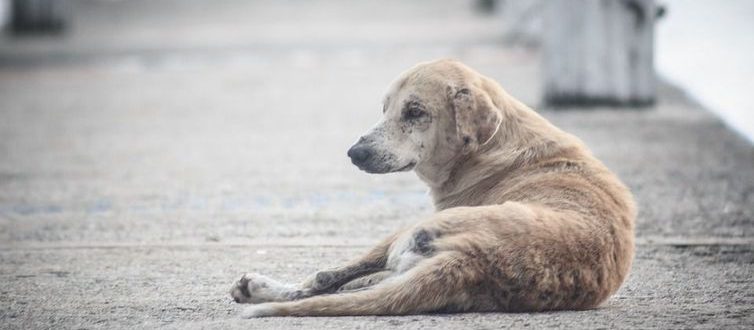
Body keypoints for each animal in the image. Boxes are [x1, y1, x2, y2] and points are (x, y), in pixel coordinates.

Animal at [229, 58, 636, 318]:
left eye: (415, 112)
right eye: (385, 108)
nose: (354, 153)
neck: (493, 145)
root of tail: (472, 260)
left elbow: (327, 276)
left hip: (408, 232)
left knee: (325, 282)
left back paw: (259, 289)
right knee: (355, 286)